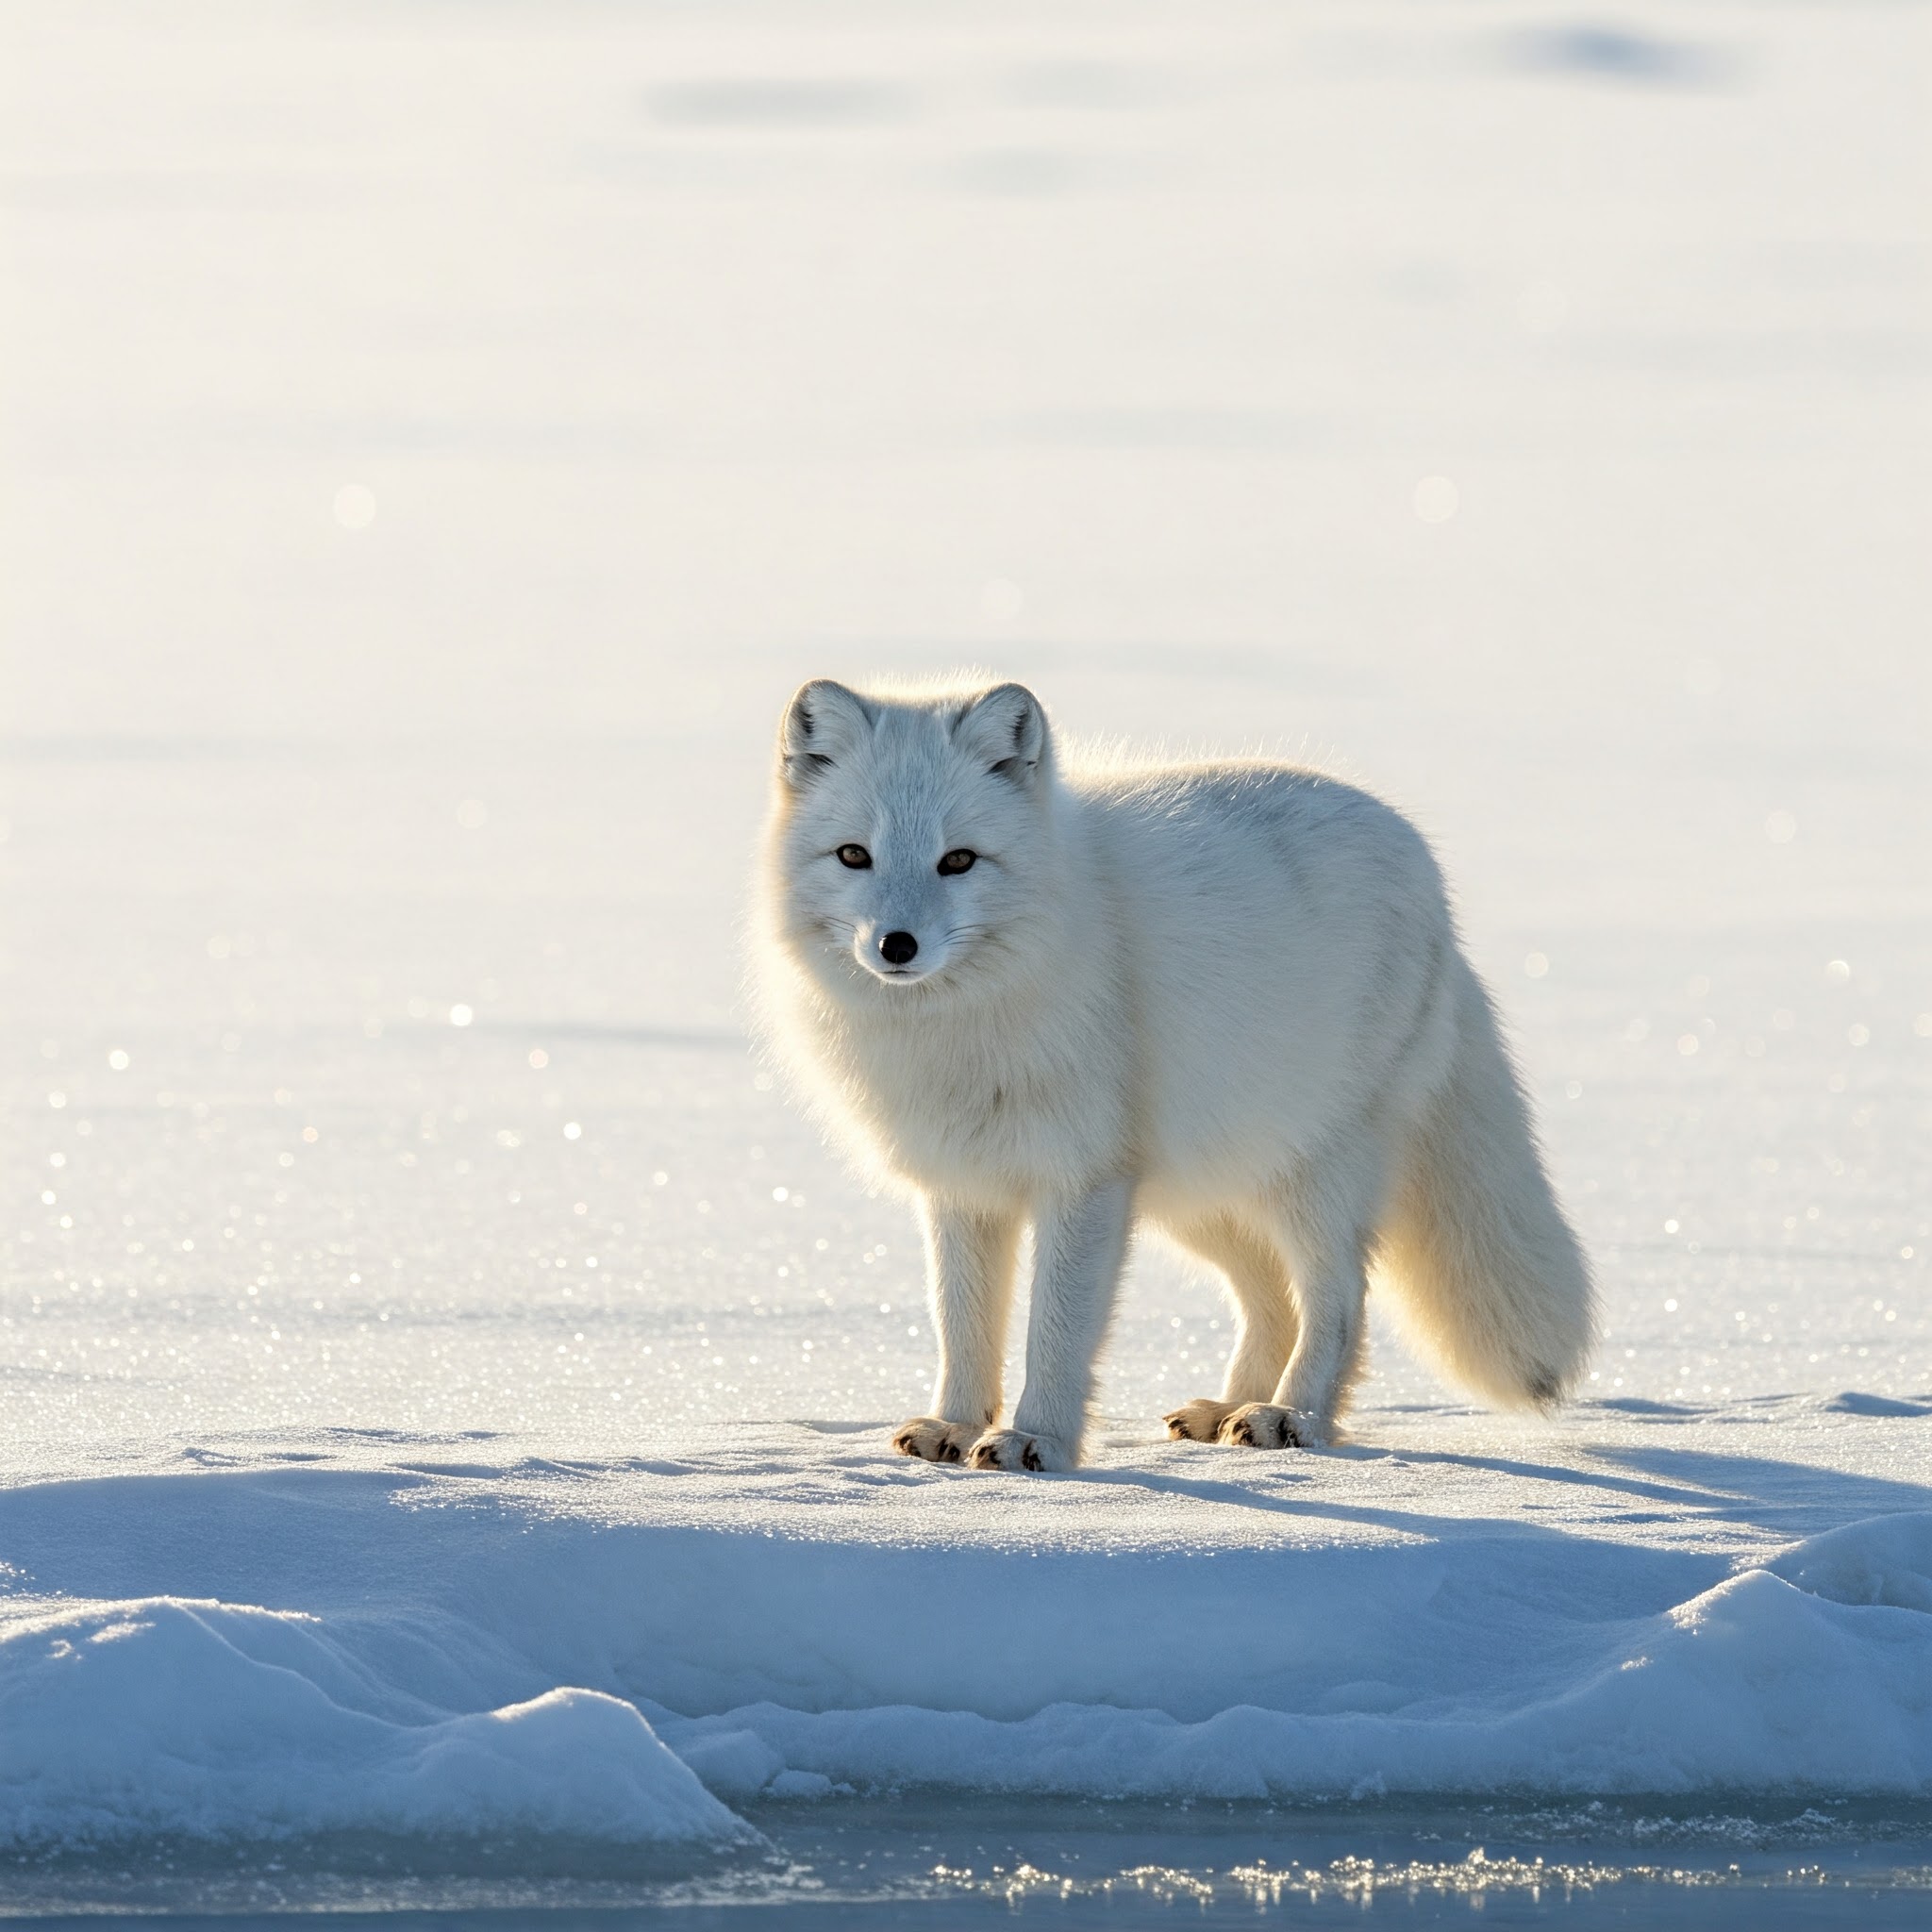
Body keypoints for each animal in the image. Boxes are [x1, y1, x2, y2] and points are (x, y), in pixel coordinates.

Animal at [757, 672, 1599, 1468]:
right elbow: (961, 1323)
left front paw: (1037, 1442)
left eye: (958, 860)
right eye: (855, 855)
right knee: (1273, 1299)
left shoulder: (1084, 1179)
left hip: (1314, 1174)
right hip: (1202, 1194)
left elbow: (1055, 1331)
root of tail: (1431, 879)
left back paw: (1292, 1417)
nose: (896, 946)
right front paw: (955, 1427)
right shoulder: (963, 1185)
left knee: (1339, 1301)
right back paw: (1226, 1411)